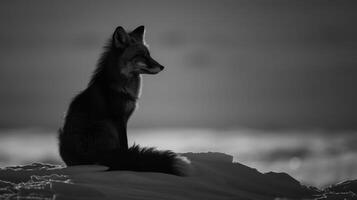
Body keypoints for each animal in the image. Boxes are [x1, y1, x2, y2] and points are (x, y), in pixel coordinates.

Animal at [57, 25, 186, 176]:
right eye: (141, 56)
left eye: (149, 54)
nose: (162, 66)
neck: (122, 89)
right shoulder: (119, 119)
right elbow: (125, 144)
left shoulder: (124, 118)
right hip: (104, 125)